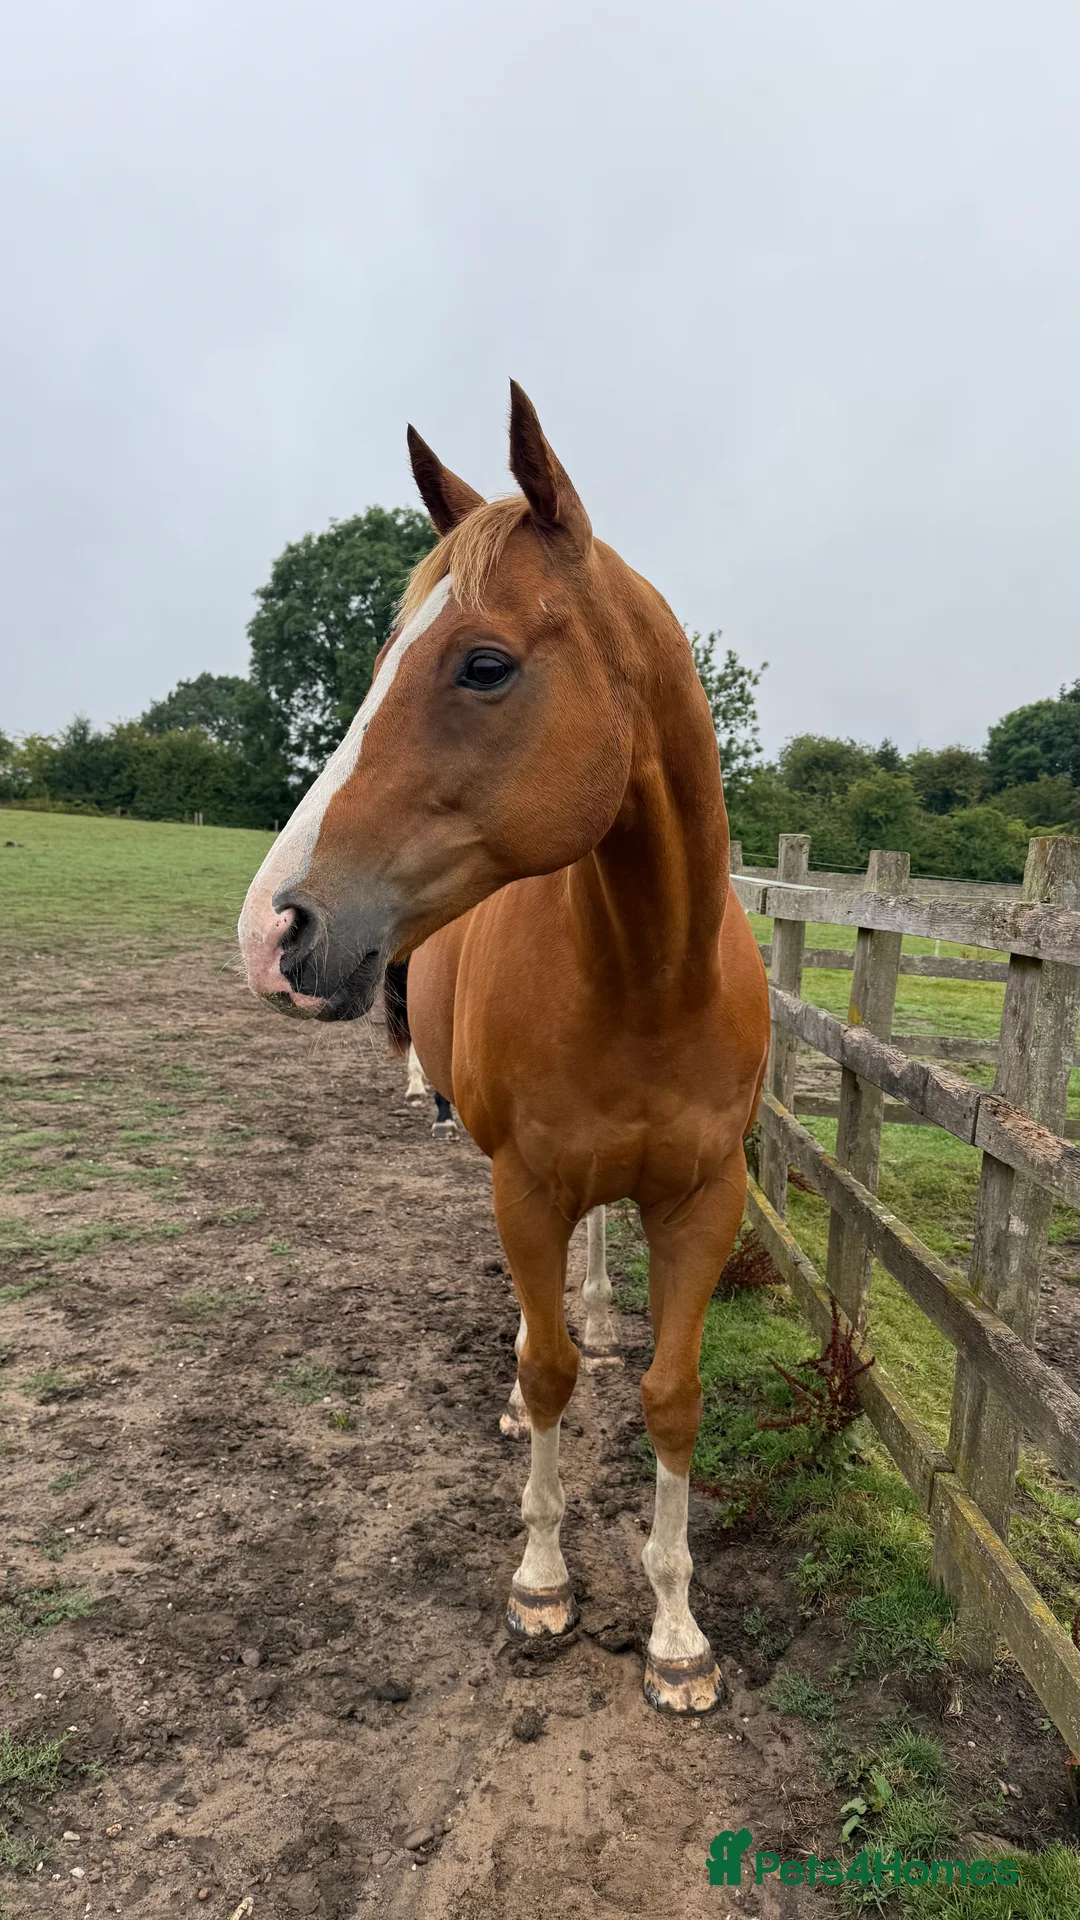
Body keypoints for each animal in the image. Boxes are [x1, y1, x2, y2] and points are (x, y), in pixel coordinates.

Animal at [238, 383, 770, 1713]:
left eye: (484, 664)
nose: (271, 930)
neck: (651, 976)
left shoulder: (704, 1199)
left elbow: (671, 1396)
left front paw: (678, 1637)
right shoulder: (523, 1188)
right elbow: (546, 1375)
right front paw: (542, 1580)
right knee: (536, 1338)